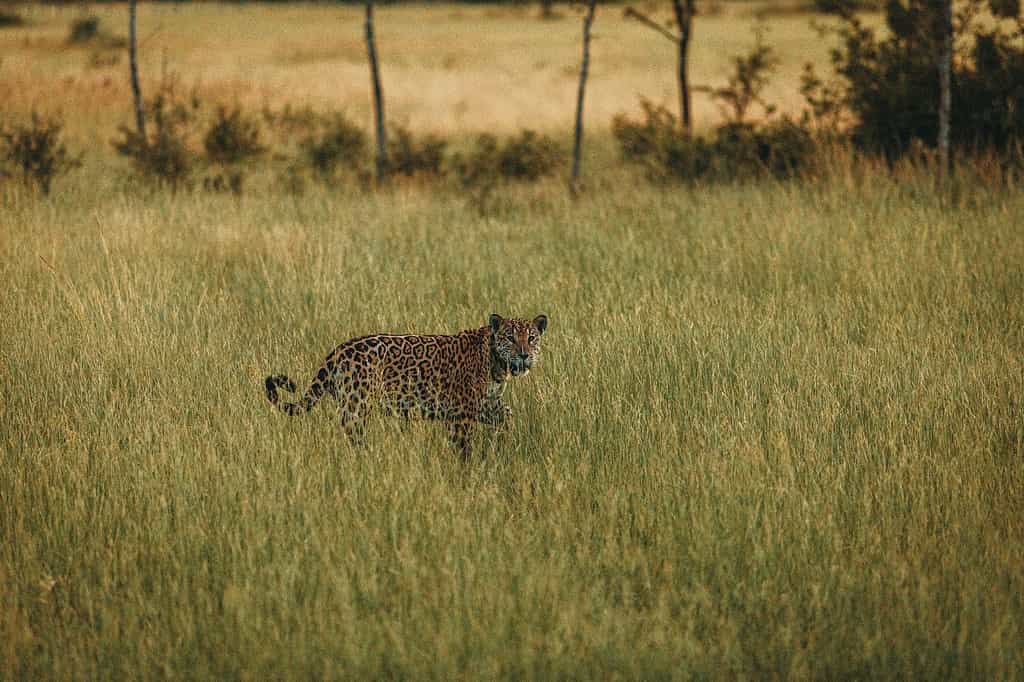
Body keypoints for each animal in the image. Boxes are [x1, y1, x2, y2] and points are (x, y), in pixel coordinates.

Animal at [264, 313, 548, 458]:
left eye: (531, 338)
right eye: (510, 338)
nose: (524, 354)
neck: (497, 365)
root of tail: (337, 352)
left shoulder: (486, 404)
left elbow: (507, 414)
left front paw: (503, 440)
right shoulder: (461, 413)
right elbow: (462, 446)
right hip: (357, 406)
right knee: (353, 436)